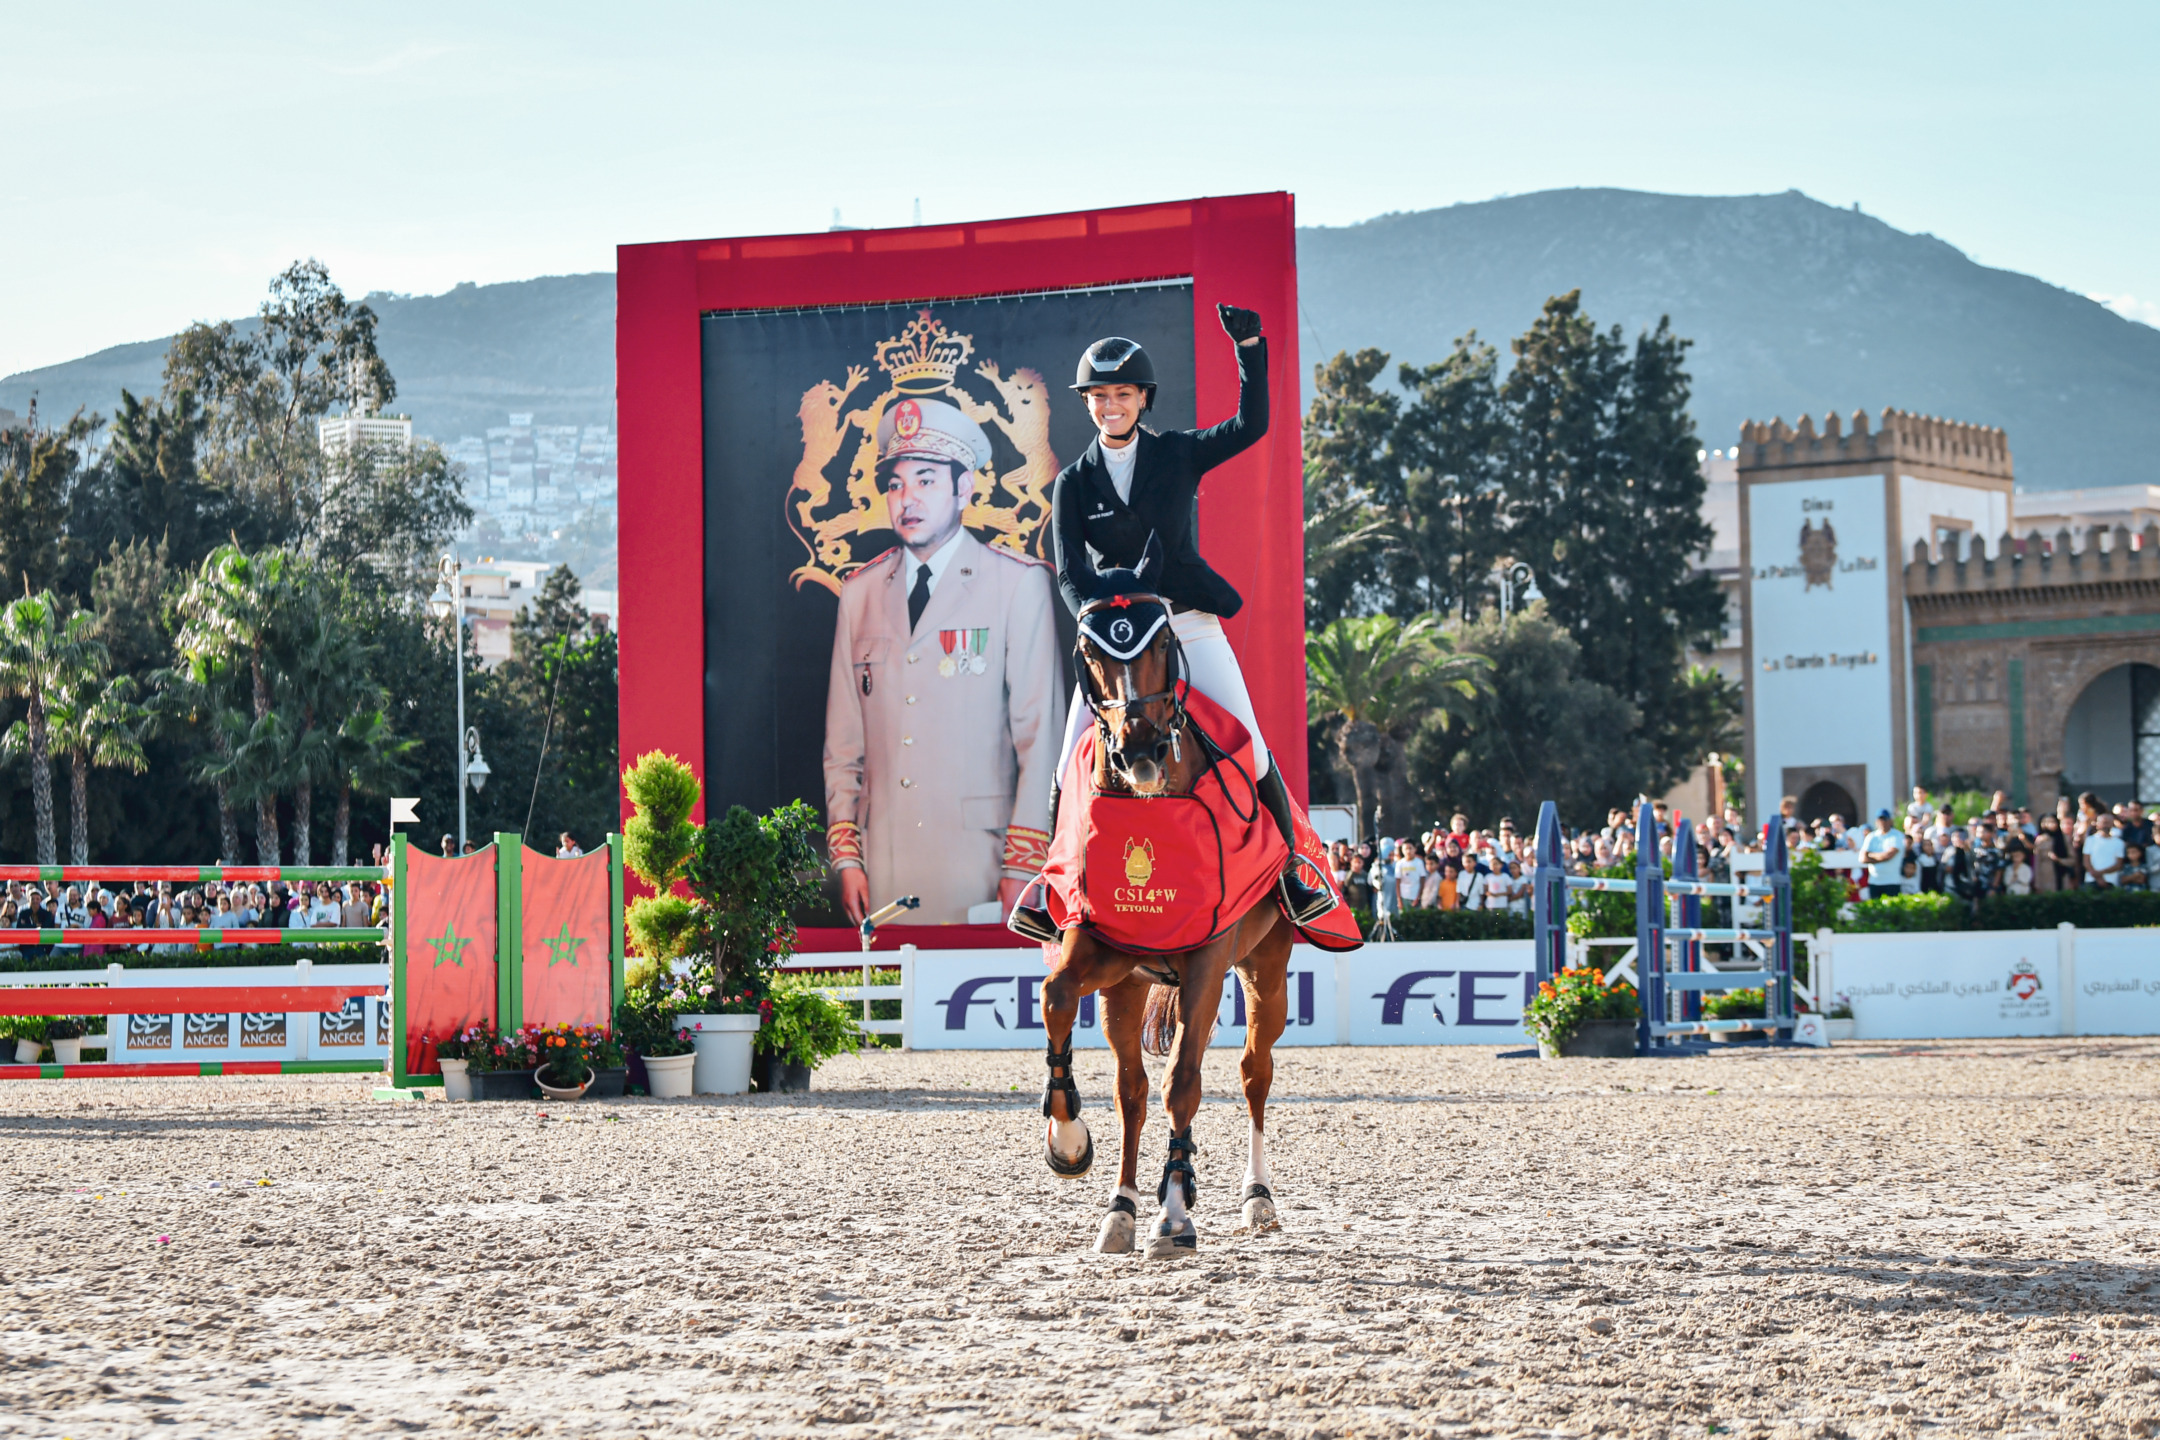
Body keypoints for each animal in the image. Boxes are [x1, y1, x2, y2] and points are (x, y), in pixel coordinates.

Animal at [1032, 557, 1287, 1252]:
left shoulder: (1207, 961)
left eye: (1165, 643)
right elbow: (1056, 999)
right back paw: (1120, 1207)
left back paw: (1256, 1198)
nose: (1139, 750)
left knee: (1252, 1071)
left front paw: (1174, 1213)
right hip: (1127, 984)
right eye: (1091, 652)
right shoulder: (1098, 947)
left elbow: (1186, 1083)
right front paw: (1068, 1142)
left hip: (1266, 968)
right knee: (1133, 1090)